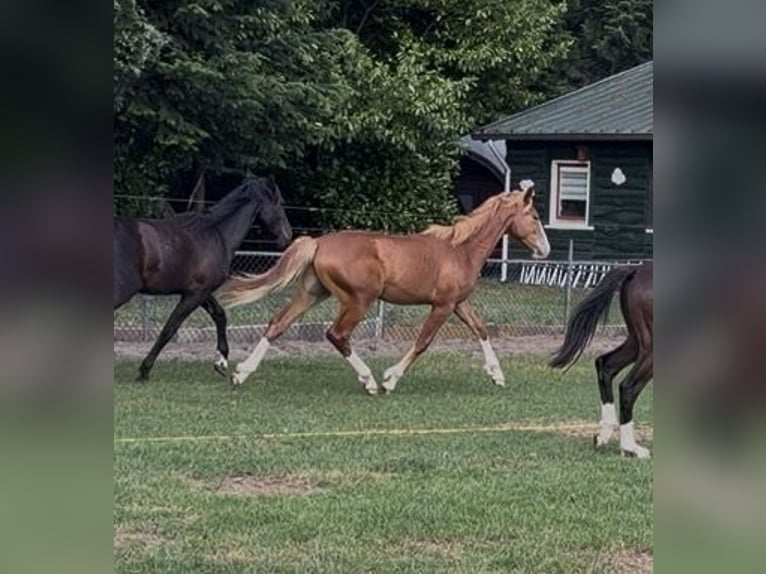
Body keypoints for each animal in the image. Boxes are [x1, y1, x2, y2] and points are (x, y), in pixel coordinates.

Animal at [114, 174, 293, 381]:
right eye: (280, 202)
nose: (288, 235)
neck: (216, 235)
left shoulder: (201, 292)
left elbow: (220, 315)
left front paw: (221, 362)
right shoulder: (195, 295)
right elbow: (169, 329)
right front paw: (144, 370)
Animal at [219, 187, 550, 394]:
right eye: (534, 217)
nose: (545, 250)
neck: (461, 250)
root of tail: (318, 242)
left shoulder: (458, 303)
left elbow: (481, 329)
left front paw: (497, 375)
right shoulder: (442, 306)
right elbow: (423, 342)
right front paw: (390, 379)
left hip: (312, 293)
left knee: (277, 324)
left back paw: (241, 373)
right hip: (358, 301)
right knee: (337, 334)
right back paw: (369, 381)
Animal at [549, 262, 653, 458]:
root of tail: (636, 270)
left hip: (636, 342)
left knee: (605, 365)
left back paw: (603, 435)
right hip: (650, 348)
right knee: (628, 387)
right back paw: (631, 448)